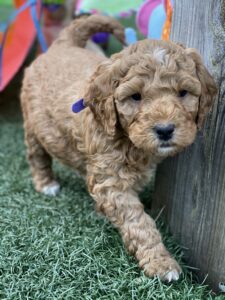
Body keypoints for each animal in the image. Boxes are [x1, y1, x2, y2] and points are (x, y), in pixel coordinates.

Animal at [20, 14, 217, 282]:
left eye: (183, 93)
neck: (127, 139)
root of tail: (63, 44)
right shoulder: (111, 180)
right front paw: (161, 262)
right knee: (36, 154)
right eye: (135, 96)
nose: (165, 130)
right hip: (32, 123)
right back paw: (46, 183)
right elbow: (138, 222)